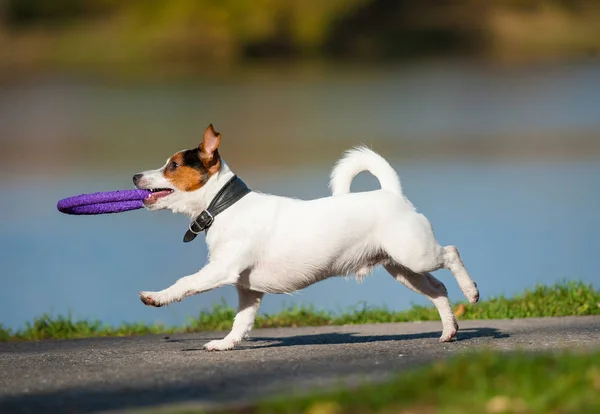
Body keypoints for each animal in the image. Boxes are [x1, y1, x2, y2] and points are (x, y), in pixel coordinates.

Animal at [134, 124, 480, 350]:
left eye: (172, 165)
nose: (136, 176)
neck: (224, 205)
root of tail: (392, 193)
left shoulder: (220, 270)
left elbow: (185, 284)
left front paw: (156, 297)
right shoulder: (248, 290)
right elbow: (241, 322)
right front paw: (225, 344)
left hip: (416, 255)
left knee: (452, 253)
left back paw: (471, 291)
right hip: (403, 268)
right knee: (438, 289)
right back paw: (449, 330)